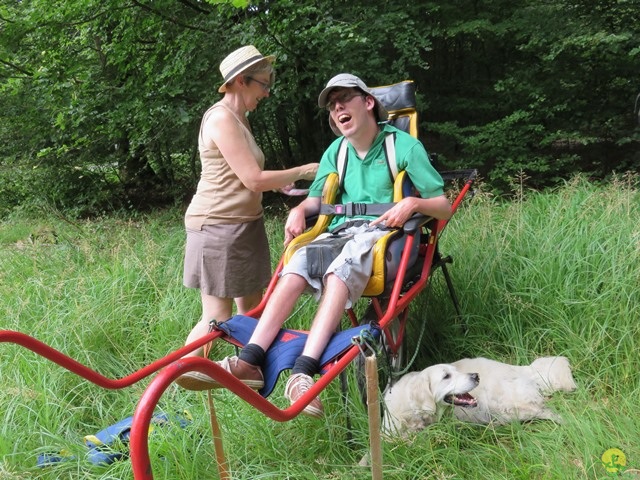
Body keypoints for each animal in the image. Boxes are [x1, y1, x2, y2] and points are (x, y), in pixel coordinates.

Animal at [382, 354, 576, 436]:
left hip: (508, 406)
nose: (476, 376)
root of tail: (522, 368)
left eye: (456, 371)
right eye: (446, 376)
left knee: (547, 411)